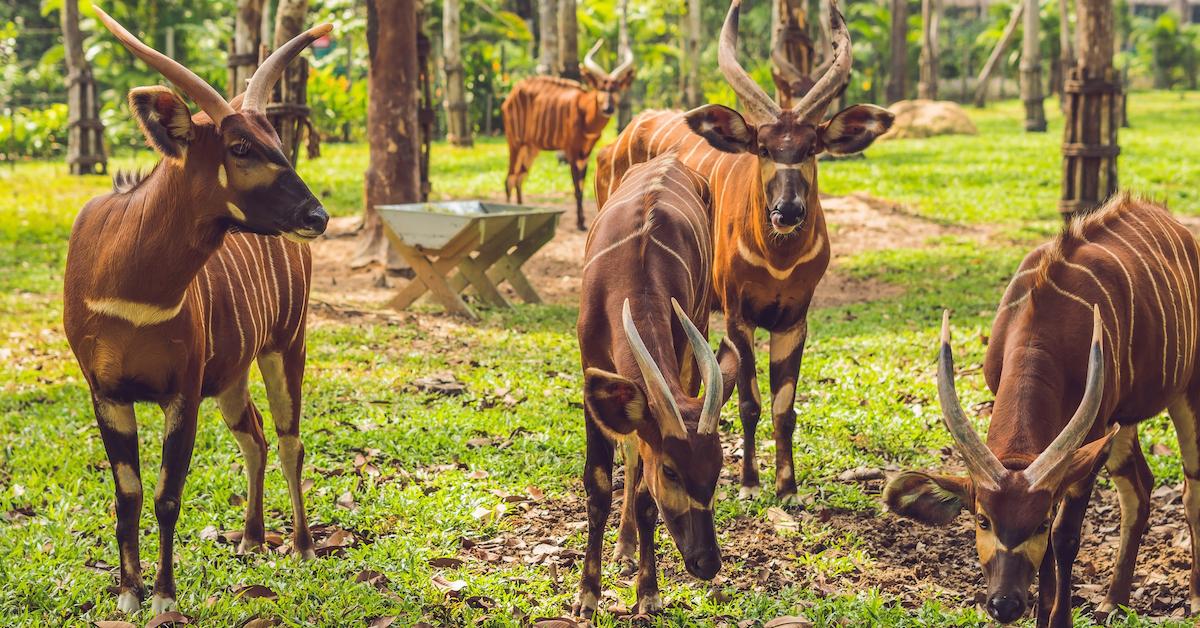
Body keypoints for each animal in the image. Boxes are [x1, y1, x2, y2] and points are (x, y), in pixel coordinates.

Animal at [63, 6, 331, 614]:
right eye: (240, 147)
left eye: (276, 139)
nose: (317, 215)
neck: (129, 282)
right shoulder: (107, 392)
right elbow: (128, 494)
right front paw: (128, 594)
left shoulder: (180, 391)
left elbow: (167, 494)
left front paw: (163, 598)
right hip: (231, 376)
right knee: (253, 434)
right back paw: (251, 540)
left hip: (287, 345)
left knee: (289, 440)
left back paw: (302, 547)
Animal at [499, 39, 633, 230]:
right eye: (600, 87)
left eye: (616, 89)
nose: (608, 108)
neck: (585, 112)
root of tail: (510, 94)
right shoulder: (571, 151)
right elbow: (577, 189)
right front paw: (580, 224)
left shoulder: (585, 154)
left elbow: (582, 187)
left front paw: (582, 220)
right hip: (515, 142)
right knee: (509, 178)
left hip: (531, 148)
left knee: (518, 177)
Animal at [573, 153, 734, 619]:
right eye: (671, 470)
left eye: (718, 470)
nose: (707, 562)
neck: (633, 269)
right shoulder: (590, 364)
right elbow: (599, 485)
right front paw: (587, 596)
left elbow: (646, 499)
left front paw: (648, 593)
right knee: (628, 447)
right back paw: (623, 549)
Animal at [595, 0, 897, 506]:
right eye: (764, 147)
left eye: (811, 147)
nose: (787, 210)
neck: (778, 260)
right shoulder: (739, 314)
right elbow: (751, 402)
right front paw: (752, 484)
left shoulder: (794, 319)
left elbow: (784, 407)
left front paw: (788, 488)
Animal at [883, 194, 1200, 624]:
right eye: (983, 519)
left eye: (1039, 521)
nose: (1005, 605)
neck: (1044, 325)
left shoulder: (1089, 443)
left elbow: (1064, 538)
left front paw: (1058, 619)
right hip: (1121, 422)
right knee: (1139, 485)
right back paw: (1112, 601)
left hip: (1186, 392)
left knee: (1190, 488)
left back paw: (1195, 597)